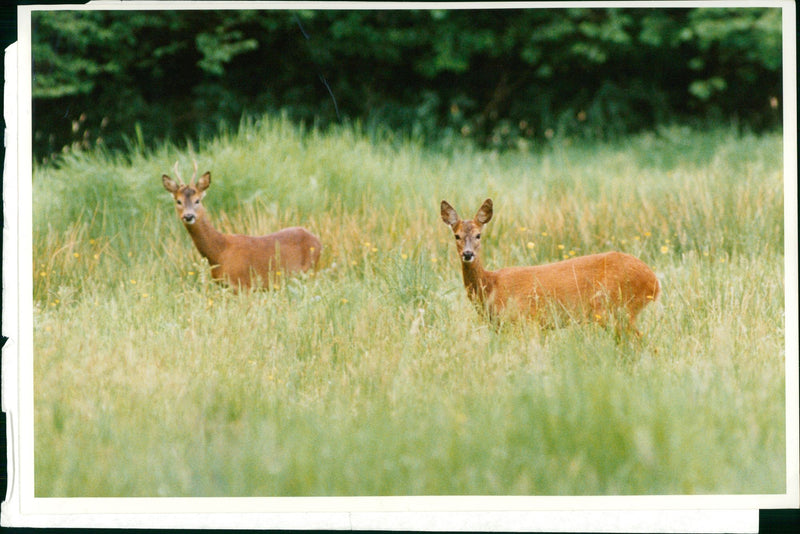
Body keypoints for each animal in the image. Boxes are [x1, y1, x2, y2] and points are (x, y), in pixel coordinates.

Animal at [161, 161, 324, 292]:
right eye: (178, 201)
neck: (219, 252)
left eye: (197, 200)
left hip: (309, 271)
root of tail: (318, 241)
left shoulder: (243, 285)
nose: (188, 216)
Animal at [440, 199, 660, 338]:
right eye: (457, 236)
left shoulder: (525, 320)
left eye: (478, 235)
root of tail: (654, 282)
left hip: (616, 308)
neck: (491, 286)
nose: (468, 254)